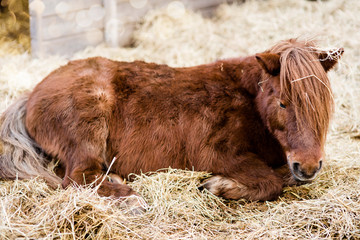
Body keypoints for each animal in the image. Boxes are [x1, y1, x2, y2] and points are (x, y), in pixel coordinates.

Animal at [0, 39, 344, 204]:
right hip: (89, 124)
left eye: (324, 104)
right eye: (283, 102)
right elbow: (272, 182)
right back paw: (131, 200)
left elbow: (284, 177)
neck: (247, 99)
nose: (308, 167)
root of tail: (32, 94)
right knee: (77, 178)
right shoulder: (220, 154)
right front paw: (217, 185)